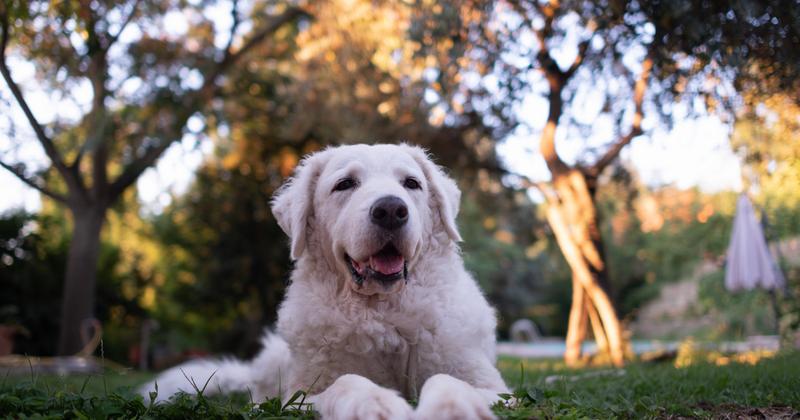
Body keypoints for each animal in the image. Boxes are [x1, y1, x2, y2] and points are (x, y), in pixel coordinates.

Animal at [143, 143, 506, 418]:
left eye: (411, 184)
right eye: (345, 184)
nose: (391, 210)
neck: (382, 314)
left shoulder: (493, 388)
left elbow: (449, 380)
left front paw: (454, 408)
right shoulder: (299, 398)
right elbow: (346, 382)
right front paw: (373, 404)